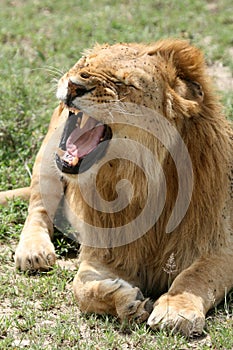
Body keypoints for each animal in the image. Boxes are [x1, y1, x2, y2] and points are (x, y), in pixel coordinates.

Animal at [0, 39, 233, 338]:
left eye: (125, 83)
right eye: (84, 63)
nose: (73, 85)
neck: (142, 180)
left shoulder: (221, 246)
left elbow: (197, 275)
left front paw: (175, 309)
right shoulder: (102, 251)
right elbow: (81, 290)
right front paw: (127, 301)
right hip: (48, 156)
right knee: (38, 209)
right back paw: (33, 251)